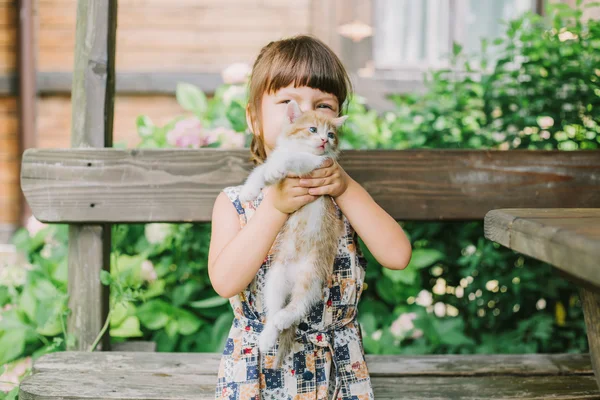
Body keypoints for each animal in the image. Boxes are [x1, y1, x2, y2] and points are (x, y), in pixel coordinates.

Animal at [237, 99, 344, 366]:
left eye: (331, 134)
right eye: (312, 129)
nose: (324, 141)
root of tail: (294, 275)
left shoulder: (316, 165)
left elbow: (293, 160)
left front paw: (276, 170)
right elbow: (260, 171)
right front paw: (249, 191)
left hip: (312, 273)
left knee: (300, 304)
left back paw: (285, 317)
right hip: (276, 277)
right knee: (274, 305)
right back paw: (268, 334)